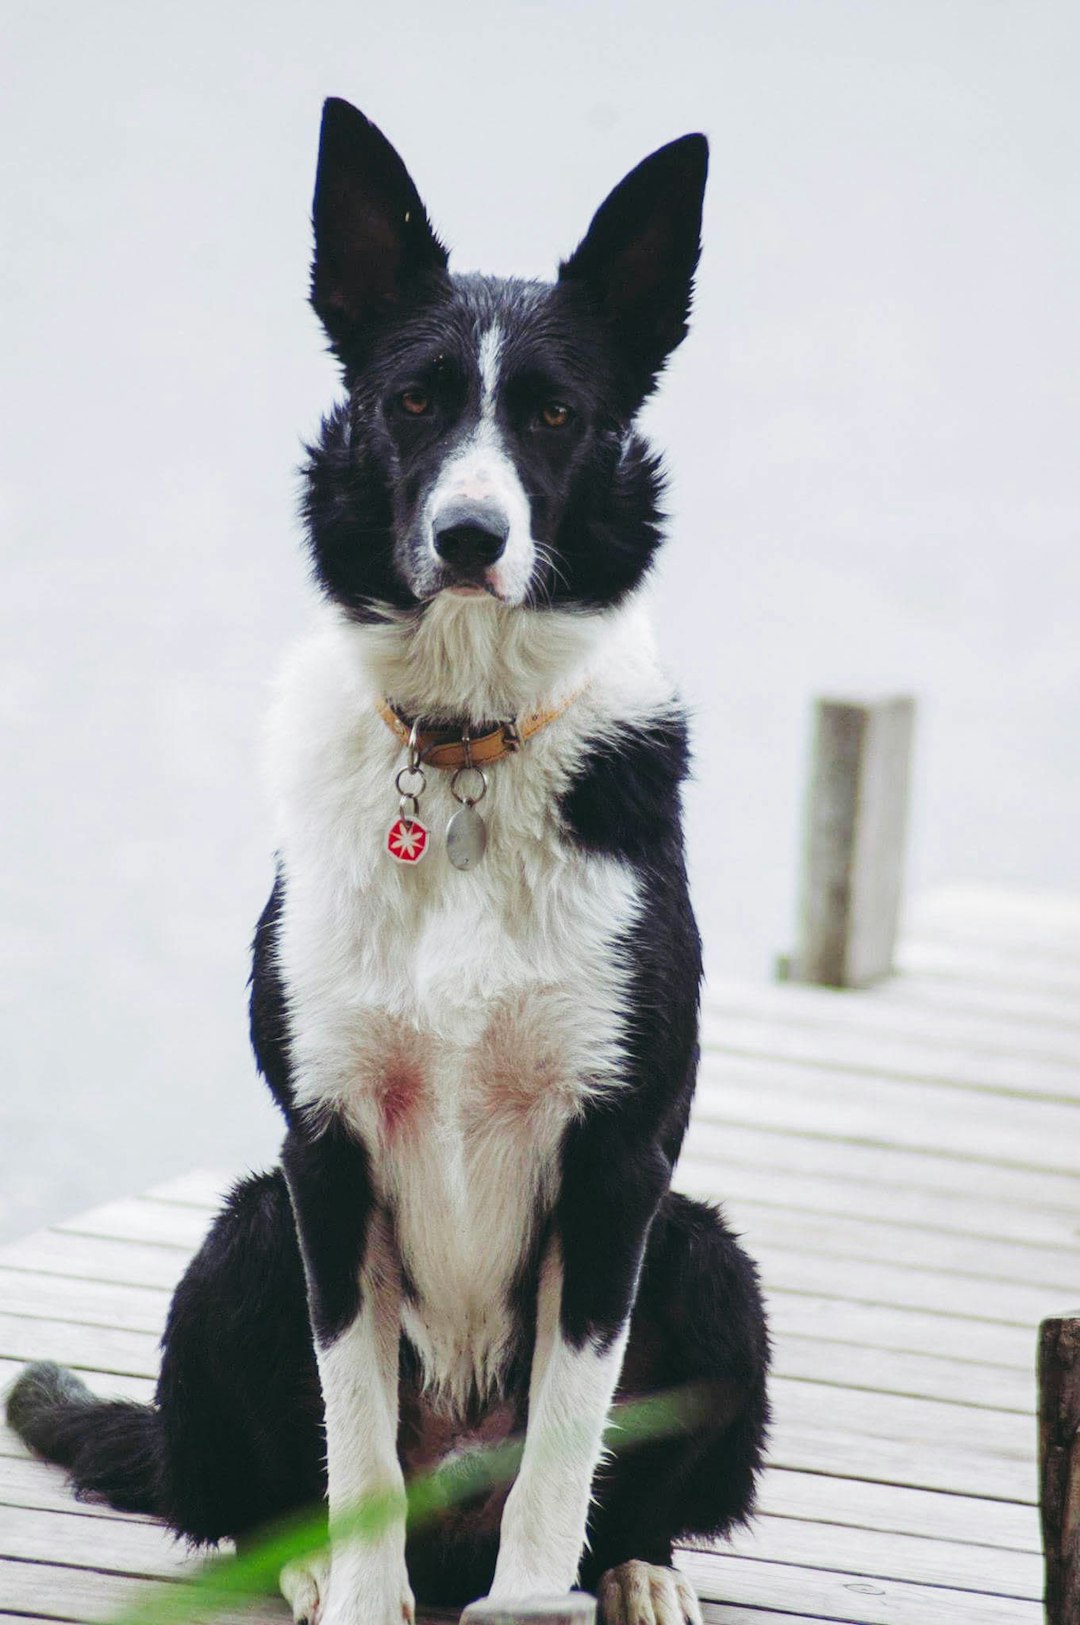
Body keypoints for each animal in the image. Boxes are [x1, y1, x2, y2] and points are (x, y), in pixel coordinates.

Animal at [8, 101, 766, 1625]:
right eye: (415, 401)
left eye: (553, 415)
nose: (472, 538)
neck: (469, 744)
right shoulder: (329, 1146)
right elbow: (351, 1441)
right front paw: (357, 1595)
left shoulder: (617, 1157)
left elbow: (563, 1453)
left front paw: (539, 1596)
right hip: (245, 1232)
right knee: (251, 1499)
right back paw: (311, 1572)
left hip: (708, 1255)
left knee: (611, 1490)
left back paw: (638, 1573)